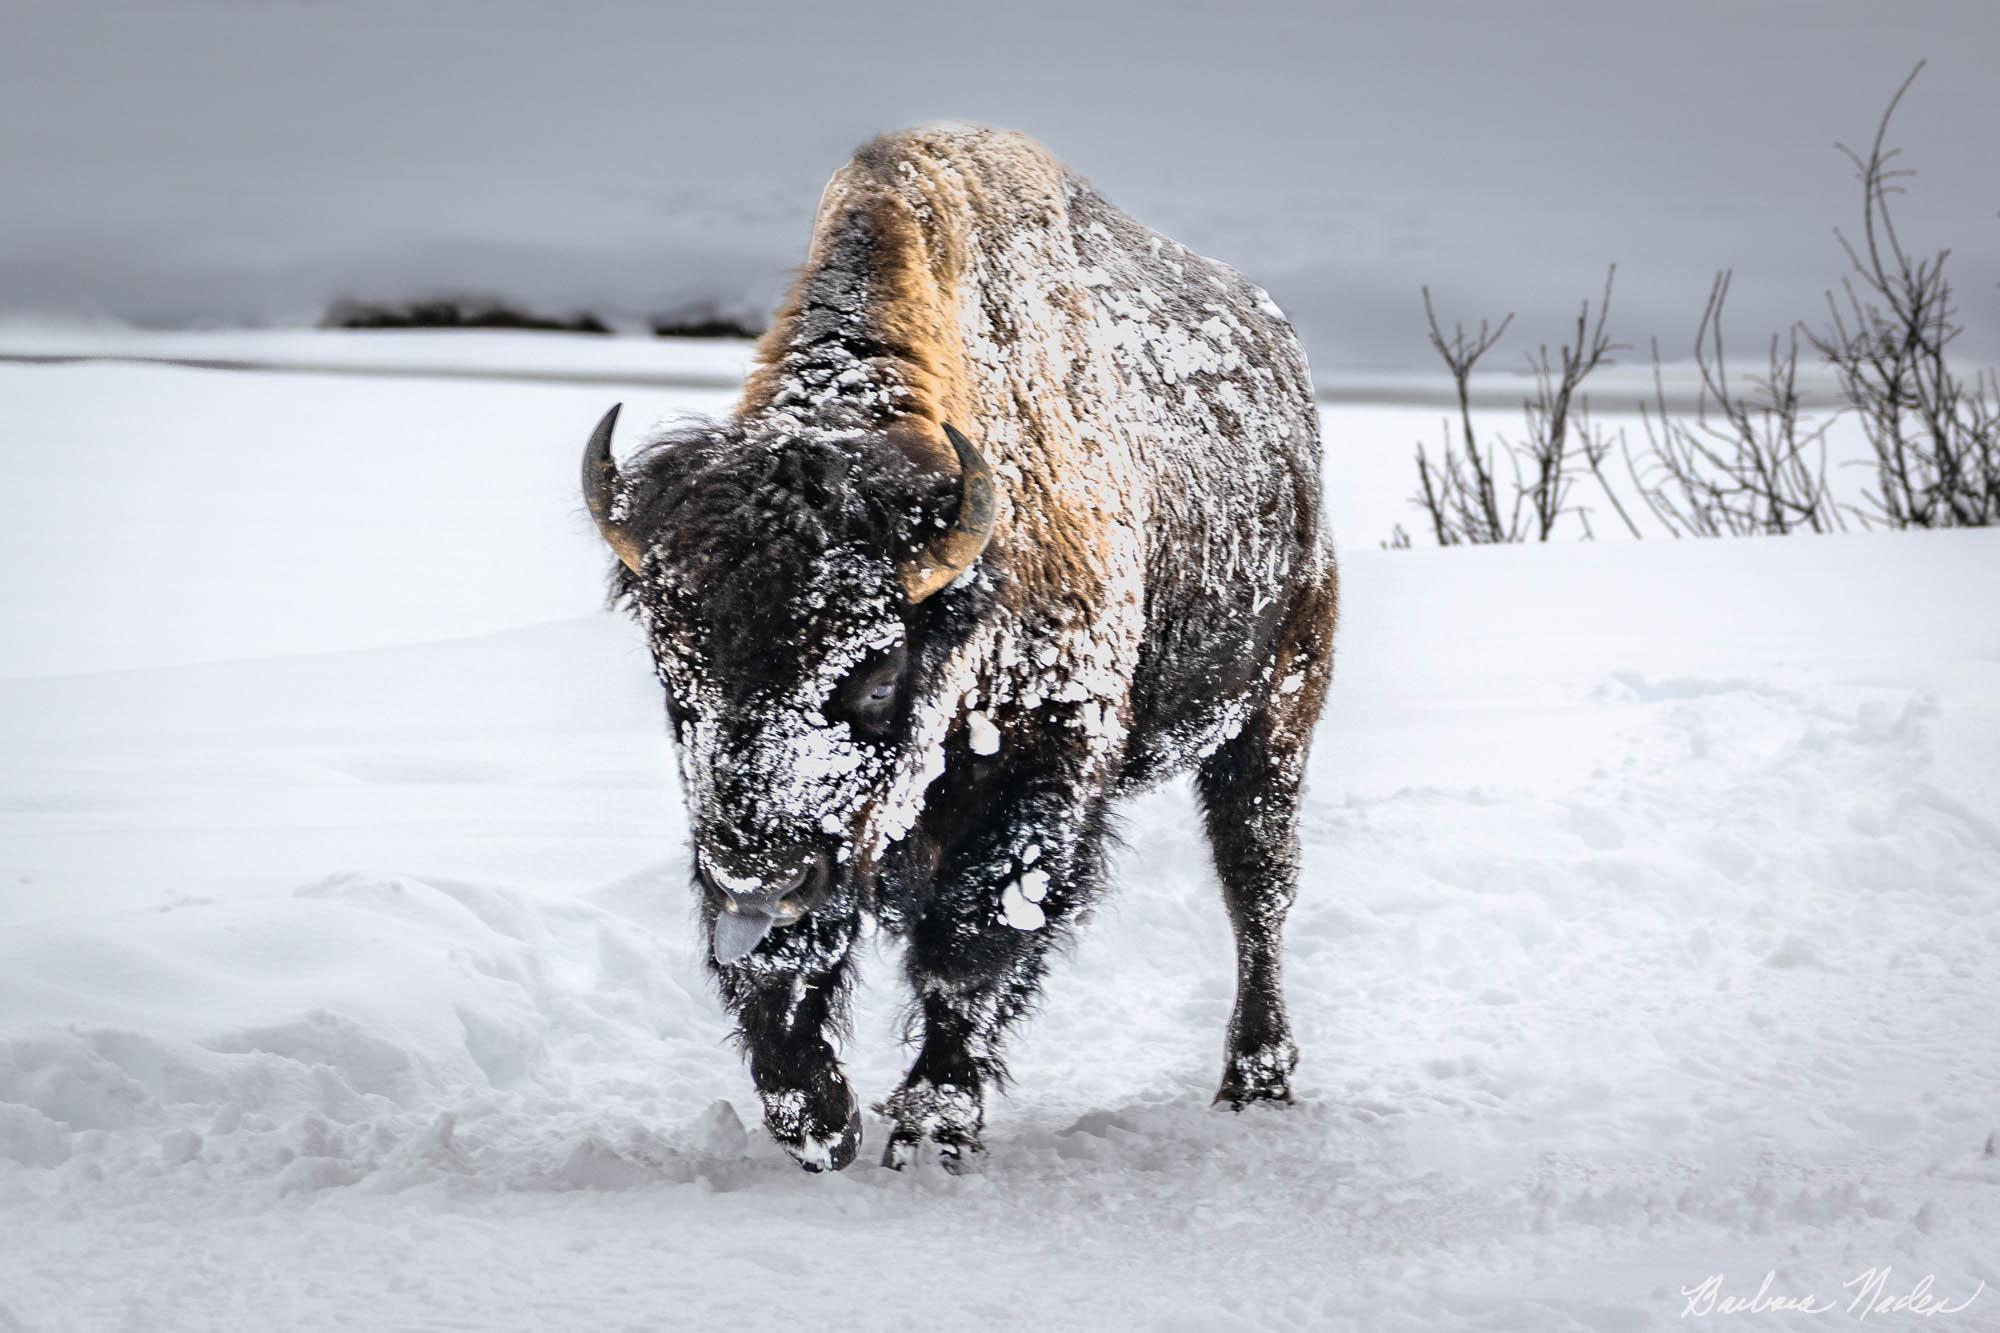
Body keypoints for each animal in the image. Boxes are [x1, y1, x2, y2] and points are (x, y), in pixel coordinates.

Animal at [584, 122, 1336, 1160]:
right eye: (673, 668)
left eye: (876, 669)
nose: (756, 870)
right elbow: (785, 969)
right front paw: (820, 1121)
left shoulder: (1046, 771)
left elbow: (972, 945)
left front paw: (932, 1126)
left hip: (1273, 712)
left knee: (1256, 884)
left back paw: (1254, 1080)